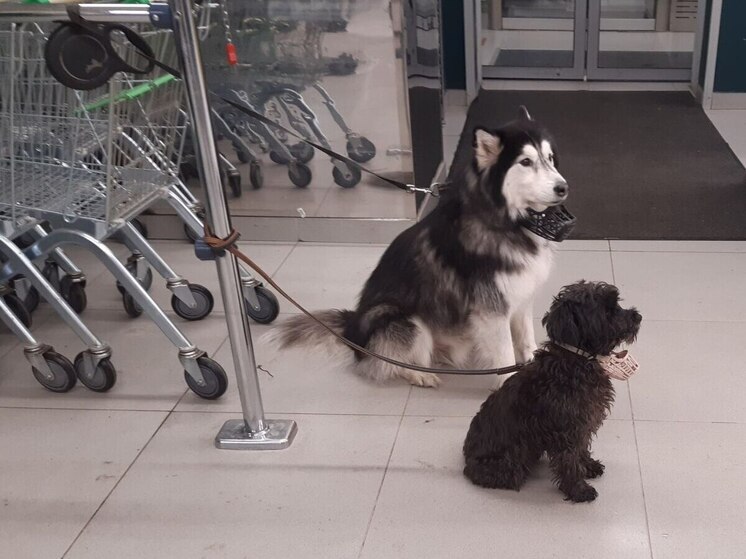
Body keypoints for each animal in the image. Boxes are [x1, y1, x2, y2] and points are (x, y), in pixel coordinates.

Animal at [270, 109, 568, 390]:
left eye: (551, 158)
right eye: (526, 162)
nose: (563, 187)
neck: (506, 221)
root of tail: (352, 330)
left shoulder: (521, 297)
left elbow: (527, 343)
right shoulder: (492, 310)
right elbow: (505, 354)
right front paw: (505, 387)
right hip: (405, 320)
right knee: (388, 363)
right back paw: (420, 375)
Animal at [460, 282, 640, 506]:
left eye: (617, 304)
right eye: (608, 311)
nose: (638, 316)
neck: (576, 360)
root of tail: (466, 459)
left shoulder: (584, 423)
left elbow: (582, 448)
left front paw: (588, 466)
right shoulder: (568, 429)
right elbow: (570, 460)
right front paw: (579, 490)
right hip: (509, 463)